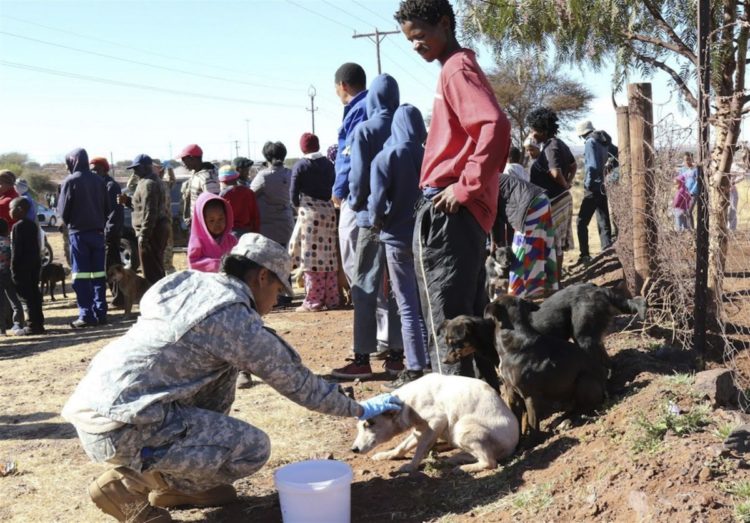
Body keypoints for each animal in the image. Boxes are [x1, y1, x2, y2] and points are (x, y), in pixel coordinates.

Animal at [352, 374, 516, 472]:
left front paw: (410, 466)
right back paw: (455, 459)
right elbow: (402, 447)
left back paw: (464, 468)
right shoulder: (419, 429)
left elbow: (420, 450)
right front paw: (387, 455)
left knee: (490, 462)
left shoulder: (437, 421)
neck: (405, 402)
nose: (354, 449)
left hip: (461, 428)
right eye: (359, 427)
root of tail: (514, 444)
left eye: (369, 424)